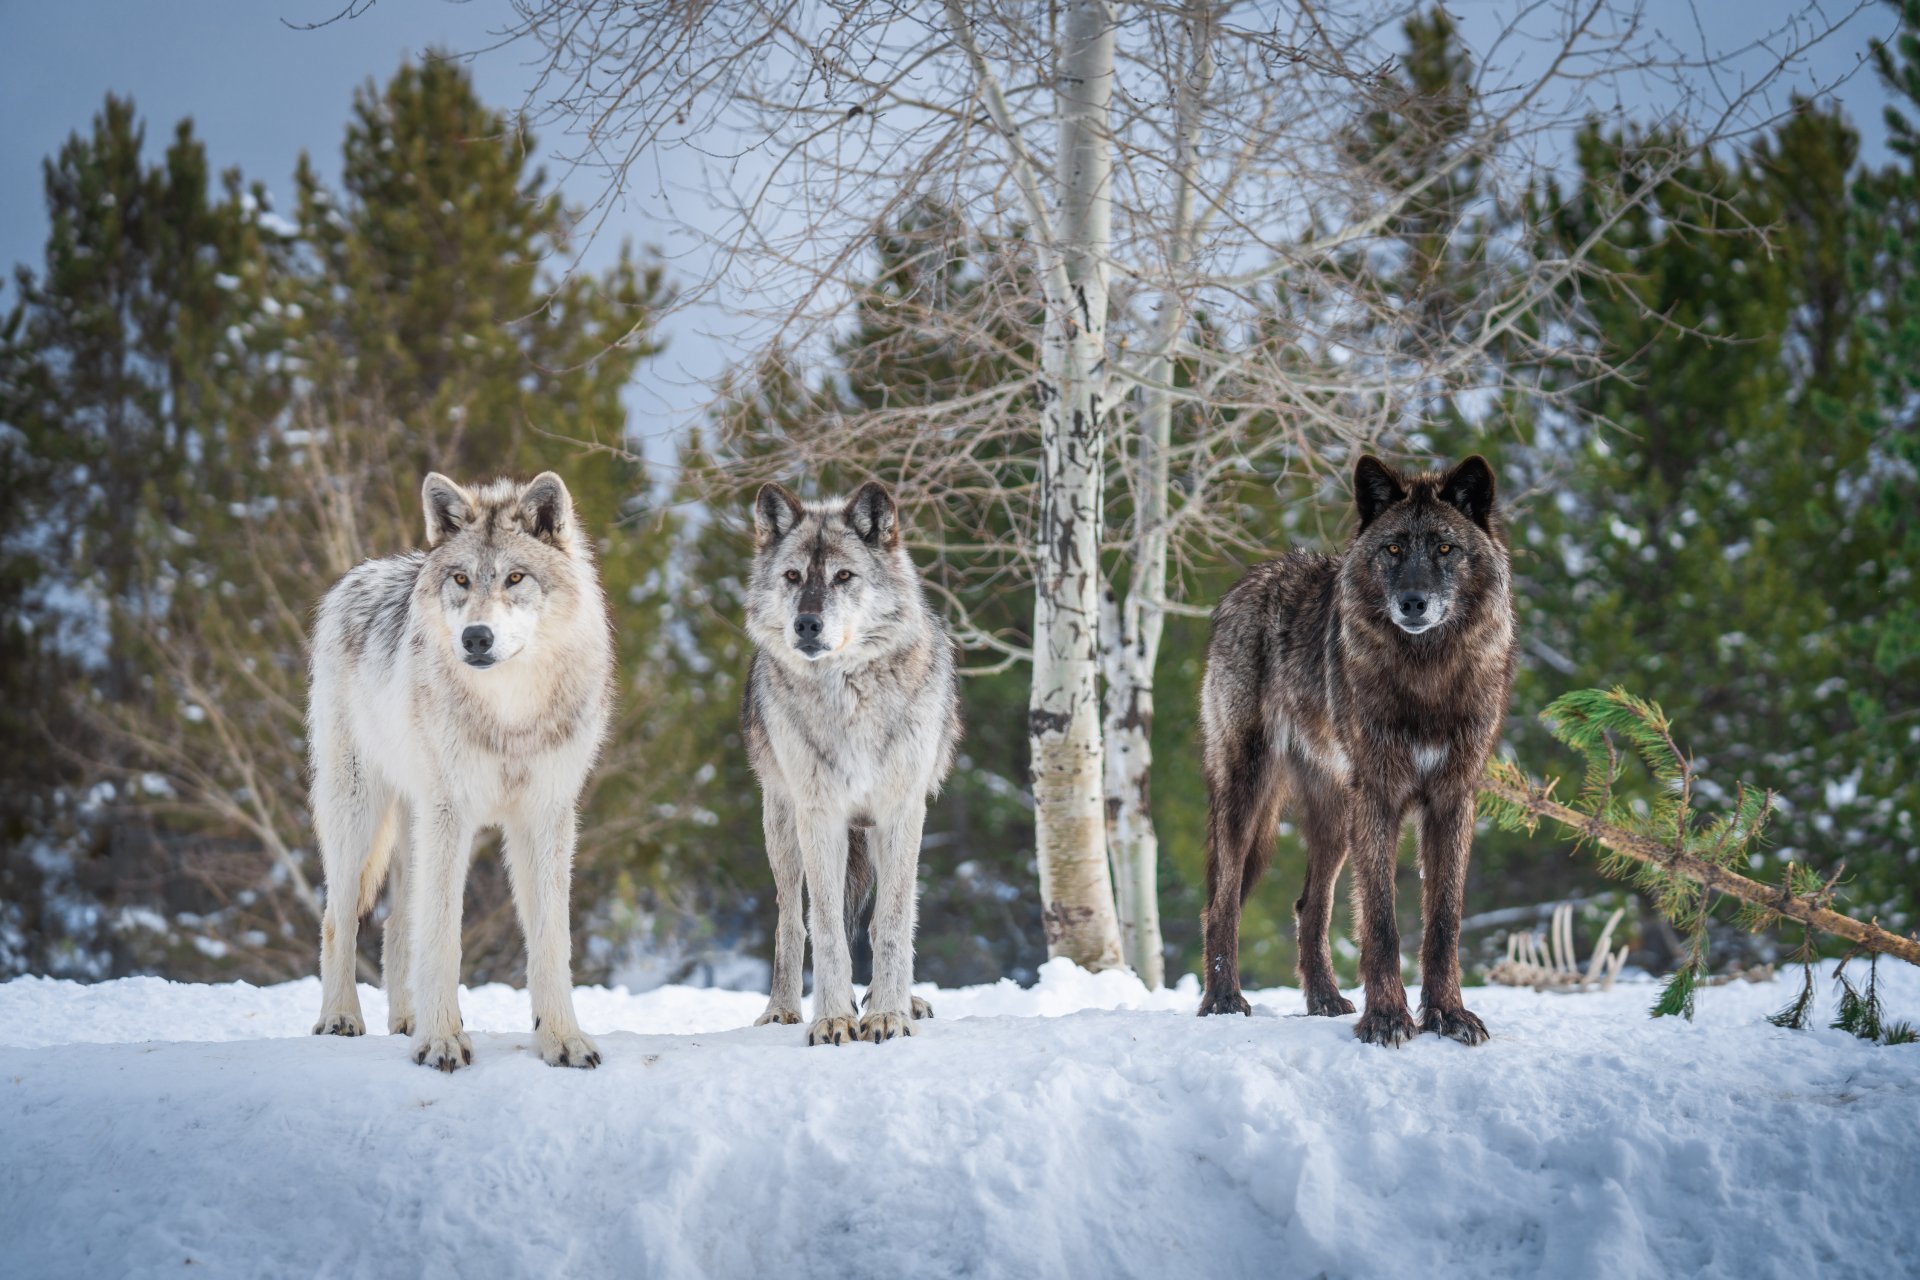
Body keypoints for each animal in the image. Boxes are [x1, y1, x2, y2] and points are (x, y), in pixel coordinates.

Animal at [309, 471, 612, 1072]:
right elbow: (444, 935)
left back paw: (405, 1021)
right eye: (461, 579)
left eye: (515, 577)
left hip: (413, 821)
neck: (510, 714)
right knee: (339, 918)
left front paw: (562, 1040)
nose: (476, 637)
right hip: (358, 810)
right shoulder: (452, 813)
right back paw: (341, 1018)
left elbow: (551, 941)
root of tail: (360, 572)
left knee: (397, 923)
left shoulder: (545, 817)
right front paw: (444, 1040)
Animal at [742, 481, 961, 1046]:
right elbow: (825, 928)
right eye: (793, 576)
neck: (849, 697)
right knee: (790, 922)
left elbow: (894, 921)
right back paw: (782, 1009)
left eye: (844, 576)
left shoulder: (901, 813)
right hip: (782, 828)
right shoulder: (820, 816)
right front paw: (833, 1019)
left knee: (890, 917)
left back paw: (905, 1000)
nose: (807, 623)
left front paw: (887, 1015)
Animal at [1196, 455, 1515, 1047]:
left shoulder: (1453, 801)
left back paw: (1323, 999)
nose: (1413, 602)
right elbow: (1382, 924)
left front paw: (1448, 1015)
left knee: (1309, 905)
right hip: (1247, 794)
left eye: (1445, 548)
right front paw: (1387, 1018)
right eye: (1392, 548)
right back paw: (1222, 1000)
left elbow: (1444, 923)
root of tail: (1251, 579)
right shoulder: (1380, 799)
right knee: (1221, 904)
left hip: (1336, 814)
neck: (1425, 678)